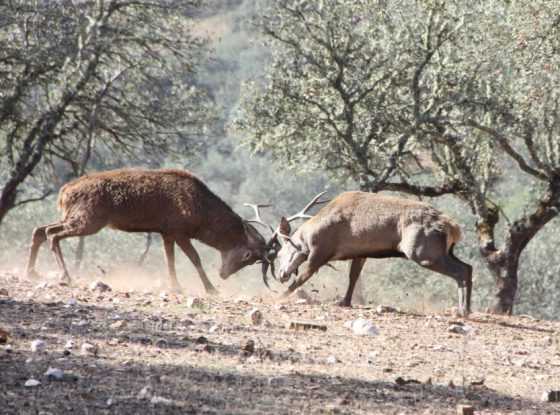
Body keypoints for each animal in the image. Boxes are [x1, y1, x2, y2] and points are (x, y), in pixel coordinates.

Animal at [27, 169, 472, 316]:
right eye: (259, 256)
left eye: (280, 253)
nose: (278, 273)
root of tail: (455, 226)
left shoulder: (328, 252)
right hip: (86, 220)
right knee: (45, 231)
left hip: (424, 251)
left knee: (465, 269)